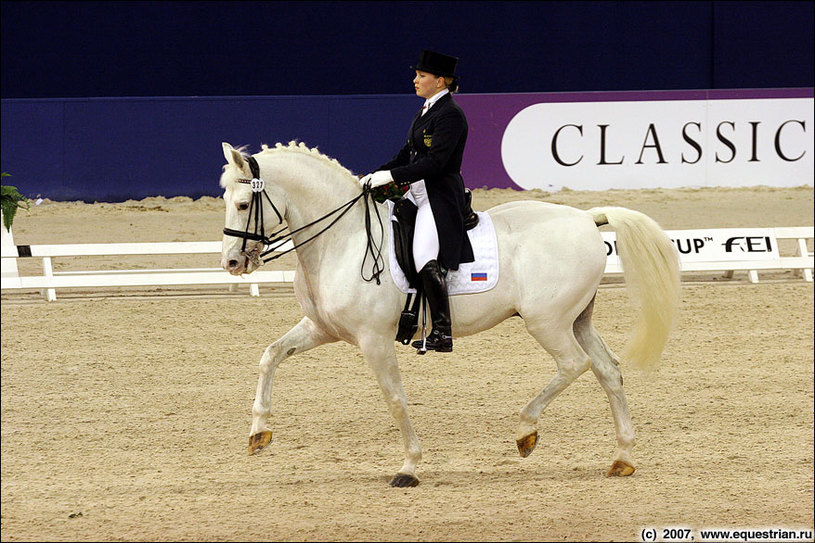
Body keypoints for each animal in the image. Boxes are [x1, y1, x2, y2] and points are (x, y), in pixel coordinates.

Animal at [220, 140, 680, 488]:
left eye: (243, 204)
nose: (231, 263)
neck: (343, 240)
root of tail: (586, 217)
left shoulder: (374, 339)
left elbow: (395, 398)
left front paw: (408, 467)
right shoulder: (321, 328)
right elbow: (270, 355)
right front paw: (258, 433)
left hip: (546, 322)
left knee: (573, 364)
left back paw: (526, 431)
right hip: (577, 319)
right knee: (608, 370)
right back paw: (622, 458)